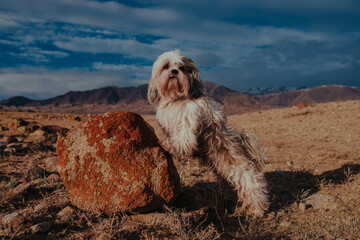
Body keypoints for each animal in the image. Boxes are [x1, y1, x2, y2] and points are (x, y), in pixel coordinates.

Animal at [148, 49, 268, 218]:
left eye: (182, 67)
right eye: (166, 66)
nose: (174, 71)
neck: (177, 99)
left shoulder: (189, 118)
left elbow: (184, 138)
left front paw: (169, 146)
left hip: (239, 169)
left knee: (252, 183)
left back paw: (257, 210)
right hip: (224, 171)